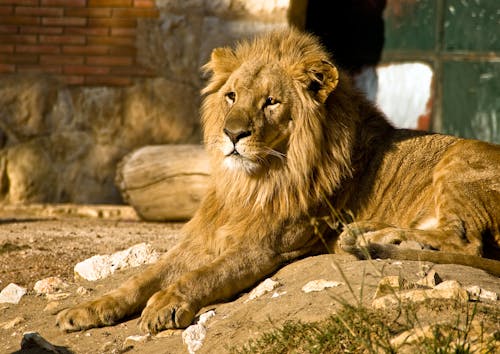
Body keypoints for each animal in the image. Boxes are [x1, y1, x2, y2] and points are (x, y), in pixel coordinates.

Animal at [55, 28, 500, 334]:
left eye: (271, 102)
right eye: (231, 96)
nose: (233, 134)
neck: (252, 182)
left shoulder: (266, 246)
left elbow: (205, 275)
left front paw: (167, 302)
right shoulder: (199, 239)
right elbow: (142, 278)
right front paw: (84, 310)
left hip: (460, 159)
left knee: (467, 241)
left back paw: (373, 239)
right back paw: (369, 233)